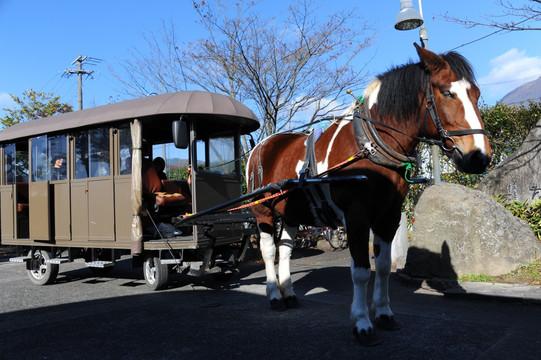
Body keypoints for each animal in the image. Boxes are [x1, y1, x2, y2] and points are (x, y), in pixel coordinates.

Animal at [247, 43, 492, 344]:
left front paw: (385, 314)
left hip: (291, 212)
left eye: (476, 94)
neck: (371, 145)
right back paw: (273, 295)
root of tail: (261, 145)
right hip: (262, 210)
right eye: (447, 93)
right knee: (269, 250)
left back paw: (289, 293)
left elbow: (384, 267)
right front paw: (362, 322)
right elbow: (362, 271)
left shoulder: (389, 215)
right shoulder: (356, 217)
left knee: (285, 250)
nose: (480, 157)